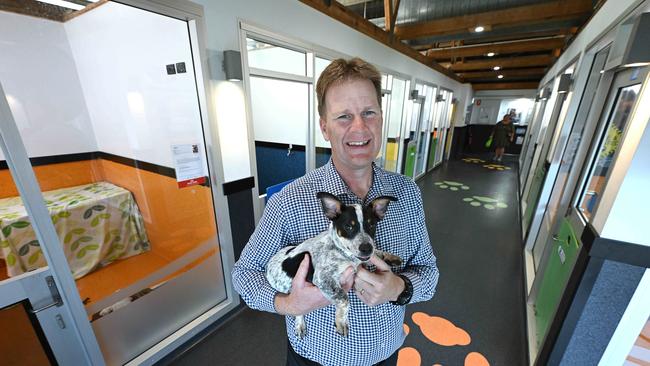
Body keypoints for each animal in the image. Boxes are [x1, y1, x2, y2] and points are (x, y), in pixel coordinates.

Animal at [264, 192, 400, 338]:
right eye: (348, 226)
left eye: (372, 225)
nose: (366, 248)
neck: (340, 250)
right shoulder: (323, 278)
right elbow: (344, 298)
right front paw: (341, 321)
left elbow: (375, 255)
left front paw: (389, 257)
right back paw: (300, 325)